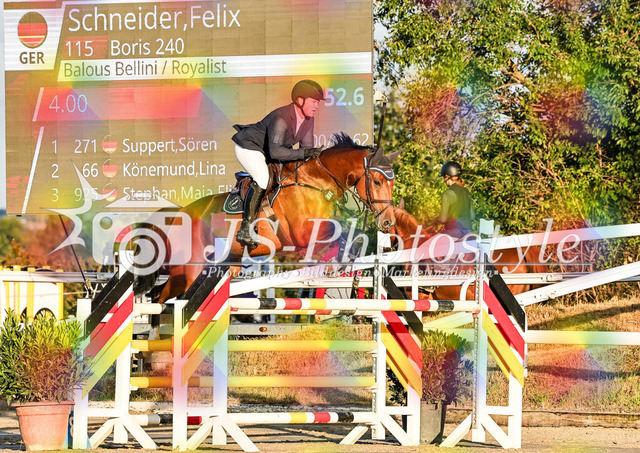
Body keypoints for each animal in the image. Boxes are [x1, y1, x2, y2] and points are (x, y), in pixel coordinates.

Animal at [136, 134, 400, 304]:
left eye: (392, 182)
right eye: (377, 182)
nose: (388, 223)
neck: (315, 180)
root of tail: (179, 214)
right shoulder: (303, 234)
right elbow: (338, 239)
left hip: (215, 268)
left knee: (163, 295)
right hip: (190, 269)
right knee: (167, 297)